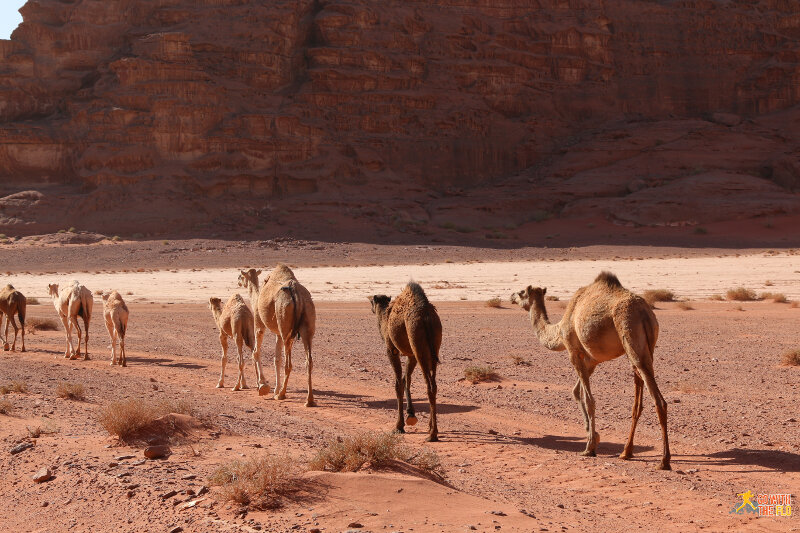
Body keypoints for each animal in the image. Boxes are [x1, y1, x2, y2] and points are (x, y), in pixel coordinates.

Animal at [238, 264, 316, 406]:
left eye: (241, 276)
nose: (238, 280)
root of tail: (297, 294)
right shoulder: (278, 334)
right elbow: (277, 359)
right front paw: (274, 388)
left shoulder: (259, 323)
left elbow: (256, 352)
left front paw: (262, 386)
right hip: (307, 323)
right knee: (309, 361)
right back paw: (309, 400)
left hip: (285, 322)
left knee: (288, 364)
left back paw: (282, 395)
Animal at [370, 282, 444, 440]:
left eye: (372, 301)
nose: (372, 308)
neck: (385, 319)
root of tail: (426, 316)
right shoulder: (411, 355)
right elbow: (406, 379)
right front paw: (411, 414)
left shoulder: (391, 350)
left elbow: (398, 383)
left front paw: (399, 426)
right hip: (434, 345)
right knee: (434, 384)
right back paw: (431, 428)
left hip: (417, 340)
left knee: (429, 386)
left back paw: (433, 434)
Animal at [512, 272, 668, 468]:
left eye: (521, 292)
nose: (511, 296)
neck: (559, 330)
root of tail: (645, 313)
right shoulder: (591, 360)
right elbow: (576, 391)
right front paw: (594, 436)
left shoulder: (573, 351)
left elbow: (589, 400)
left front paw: (590, 447)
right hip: (646, 347)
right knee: (638, 400)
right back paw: (626, 452)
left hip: (630, 333)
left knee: (659, 401)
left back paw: (664, 461)